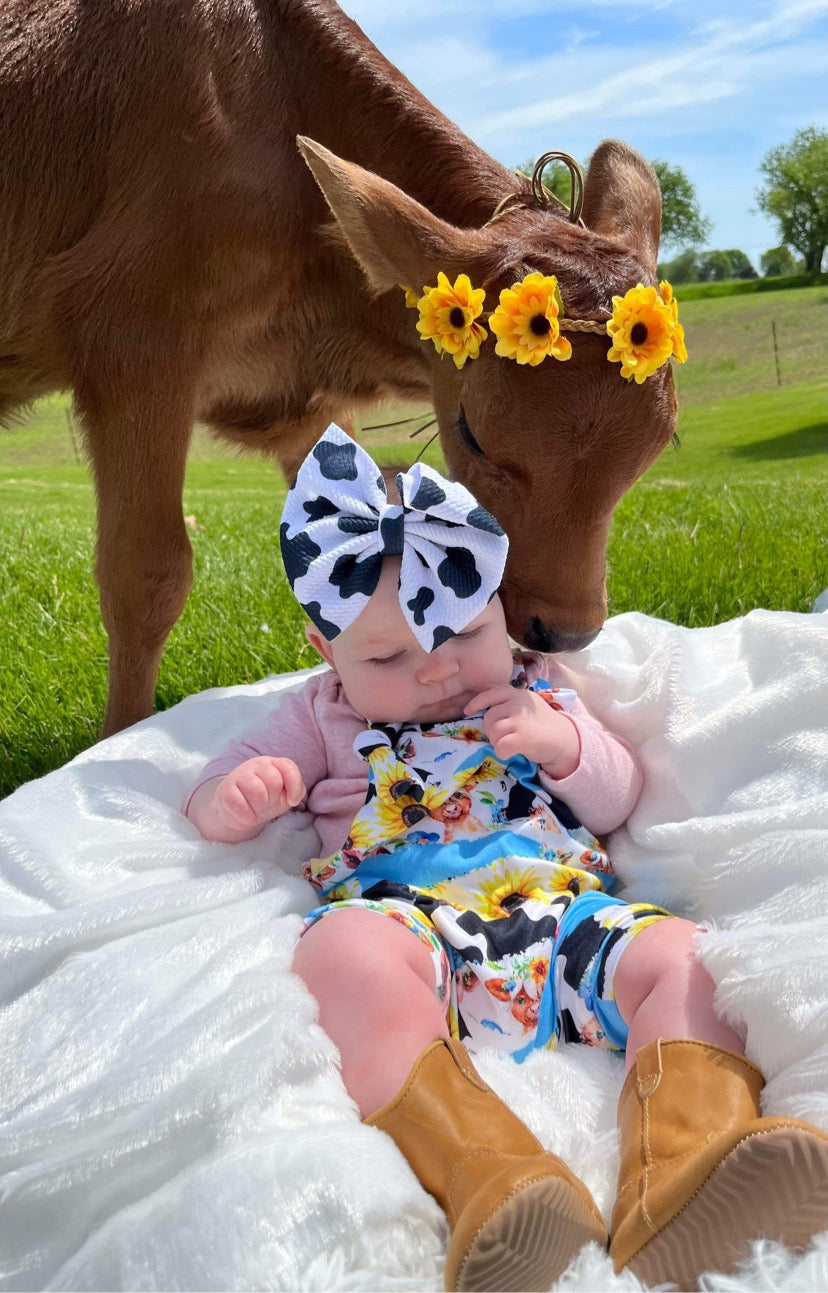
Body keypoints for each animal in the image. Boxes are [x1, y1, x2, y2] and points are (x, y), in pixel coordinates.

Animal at [0, 0, 677, 739]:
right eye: (471, 434)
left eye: (658, 446)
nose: (564, 632)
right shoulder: (135, 338)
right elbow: (145, 576)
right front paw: (122, 739)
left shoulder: (304, 409)